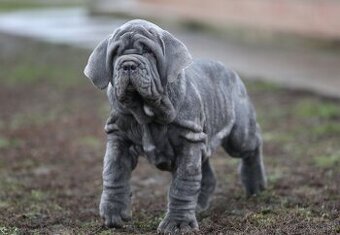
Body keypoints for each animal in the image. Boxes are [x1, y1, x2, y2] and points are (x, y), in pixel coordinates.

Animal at [83, 19, 266, 233]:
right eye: (115, 54)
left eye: (148, 52)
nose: (128, 64)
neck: (146, 111)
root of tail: (231, 70)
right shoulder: (118, 138)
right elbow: (113, 173)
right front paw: (113, 212)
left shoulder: (187, 143)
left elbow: (182, 185)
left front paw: (178, 224)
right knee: (207, 174)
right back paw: (200, 205)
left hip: (238, 136)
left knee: (254, 142)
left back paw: (256, 185)